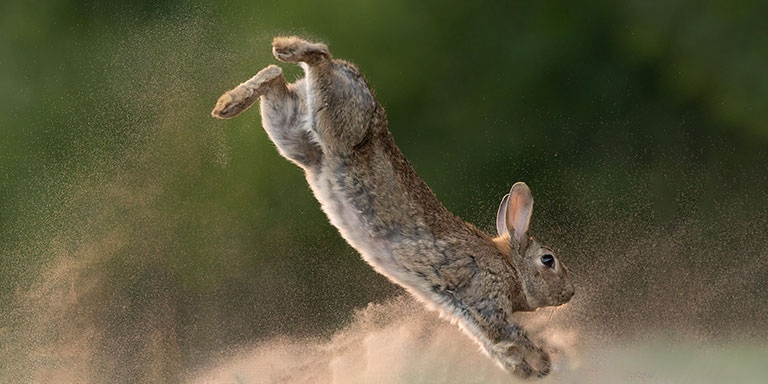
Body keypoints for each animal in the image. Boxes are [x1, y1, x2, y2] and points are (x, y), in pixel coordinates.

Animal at [210, 36, 568, 380]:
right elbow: (511, 333)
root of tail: (351, 73)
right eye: (548, 260)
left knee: (277, 78)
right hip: (340, 122)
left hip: (294, 135)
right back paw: (282, 53)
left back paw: (229, 102)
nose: (571, 293)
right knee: (318, 56)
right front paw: (545, 362)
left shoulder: (470, 318)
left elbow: (497, 346)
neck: (510, 267)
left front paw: (530, 370)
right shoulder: (486, 301)